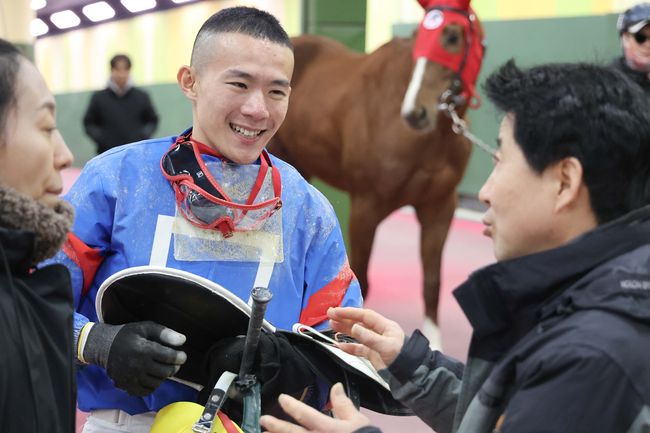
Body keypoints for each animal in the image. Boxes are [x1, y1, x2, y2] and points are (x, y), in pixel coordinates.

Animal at [266, 0, 484, 340]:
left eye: (451, 37)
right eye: (418, 37)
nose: (415, 113)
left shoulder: (440, 207)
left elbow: (432, 282)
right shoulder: (365, 207)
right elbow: (361, 281)